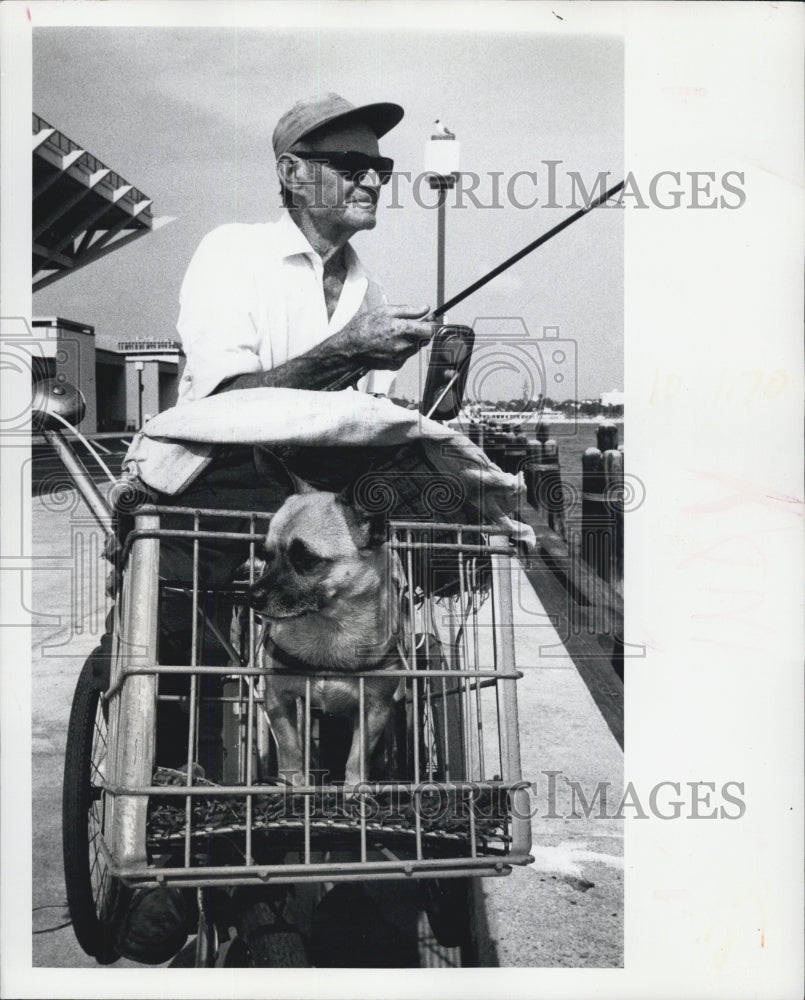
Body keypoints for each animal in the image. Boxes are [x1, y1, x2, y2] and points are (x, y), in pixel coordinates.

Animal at [245, 490, 406, 788]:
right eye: (267, 557)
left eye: (307, 560)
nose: (252, 596)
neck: (330, 625)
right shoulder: (279, 700)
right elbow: (289, 749)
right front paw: (293, 784)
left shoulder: (375, 708)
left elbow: (358, 756)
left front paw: (355, 788)